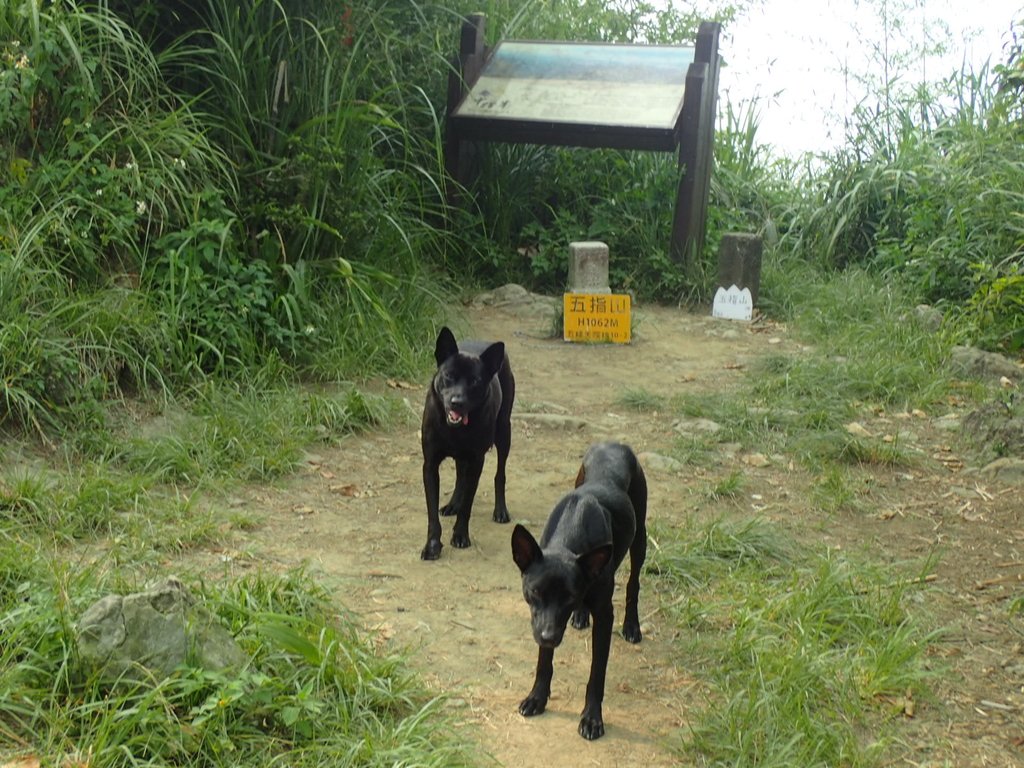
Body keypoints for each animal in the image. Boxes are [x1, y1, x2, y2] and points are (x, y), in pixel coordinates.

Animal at [417, 327, 512, 561]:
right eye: (449, 375)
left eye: (475, 381)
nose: (457, 402)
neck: (455, 429)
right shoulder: (430, 465)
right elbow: (432, 514)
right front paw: (432, 545)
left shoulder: (477, 461)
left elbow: (468, 505)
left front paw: (460, 535)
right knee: (460, 475)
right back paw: (453, 504)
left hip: (504, 432)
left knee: (500, 474)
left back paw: (500, 510)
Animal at [512, 442, 647, 741]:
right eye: (534, 592)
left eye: (569, 598)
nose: (549, 637)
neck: (570, 535)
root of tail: (615, 443)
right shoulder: (542, 622)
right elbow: (544, 661)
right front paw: (537, 698)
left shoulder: (605, 616)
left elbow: (597, 673)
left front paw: (592, 718)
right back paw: (581, 617)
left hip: (640, 537)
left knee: (634, 582)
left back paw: (631, 626)